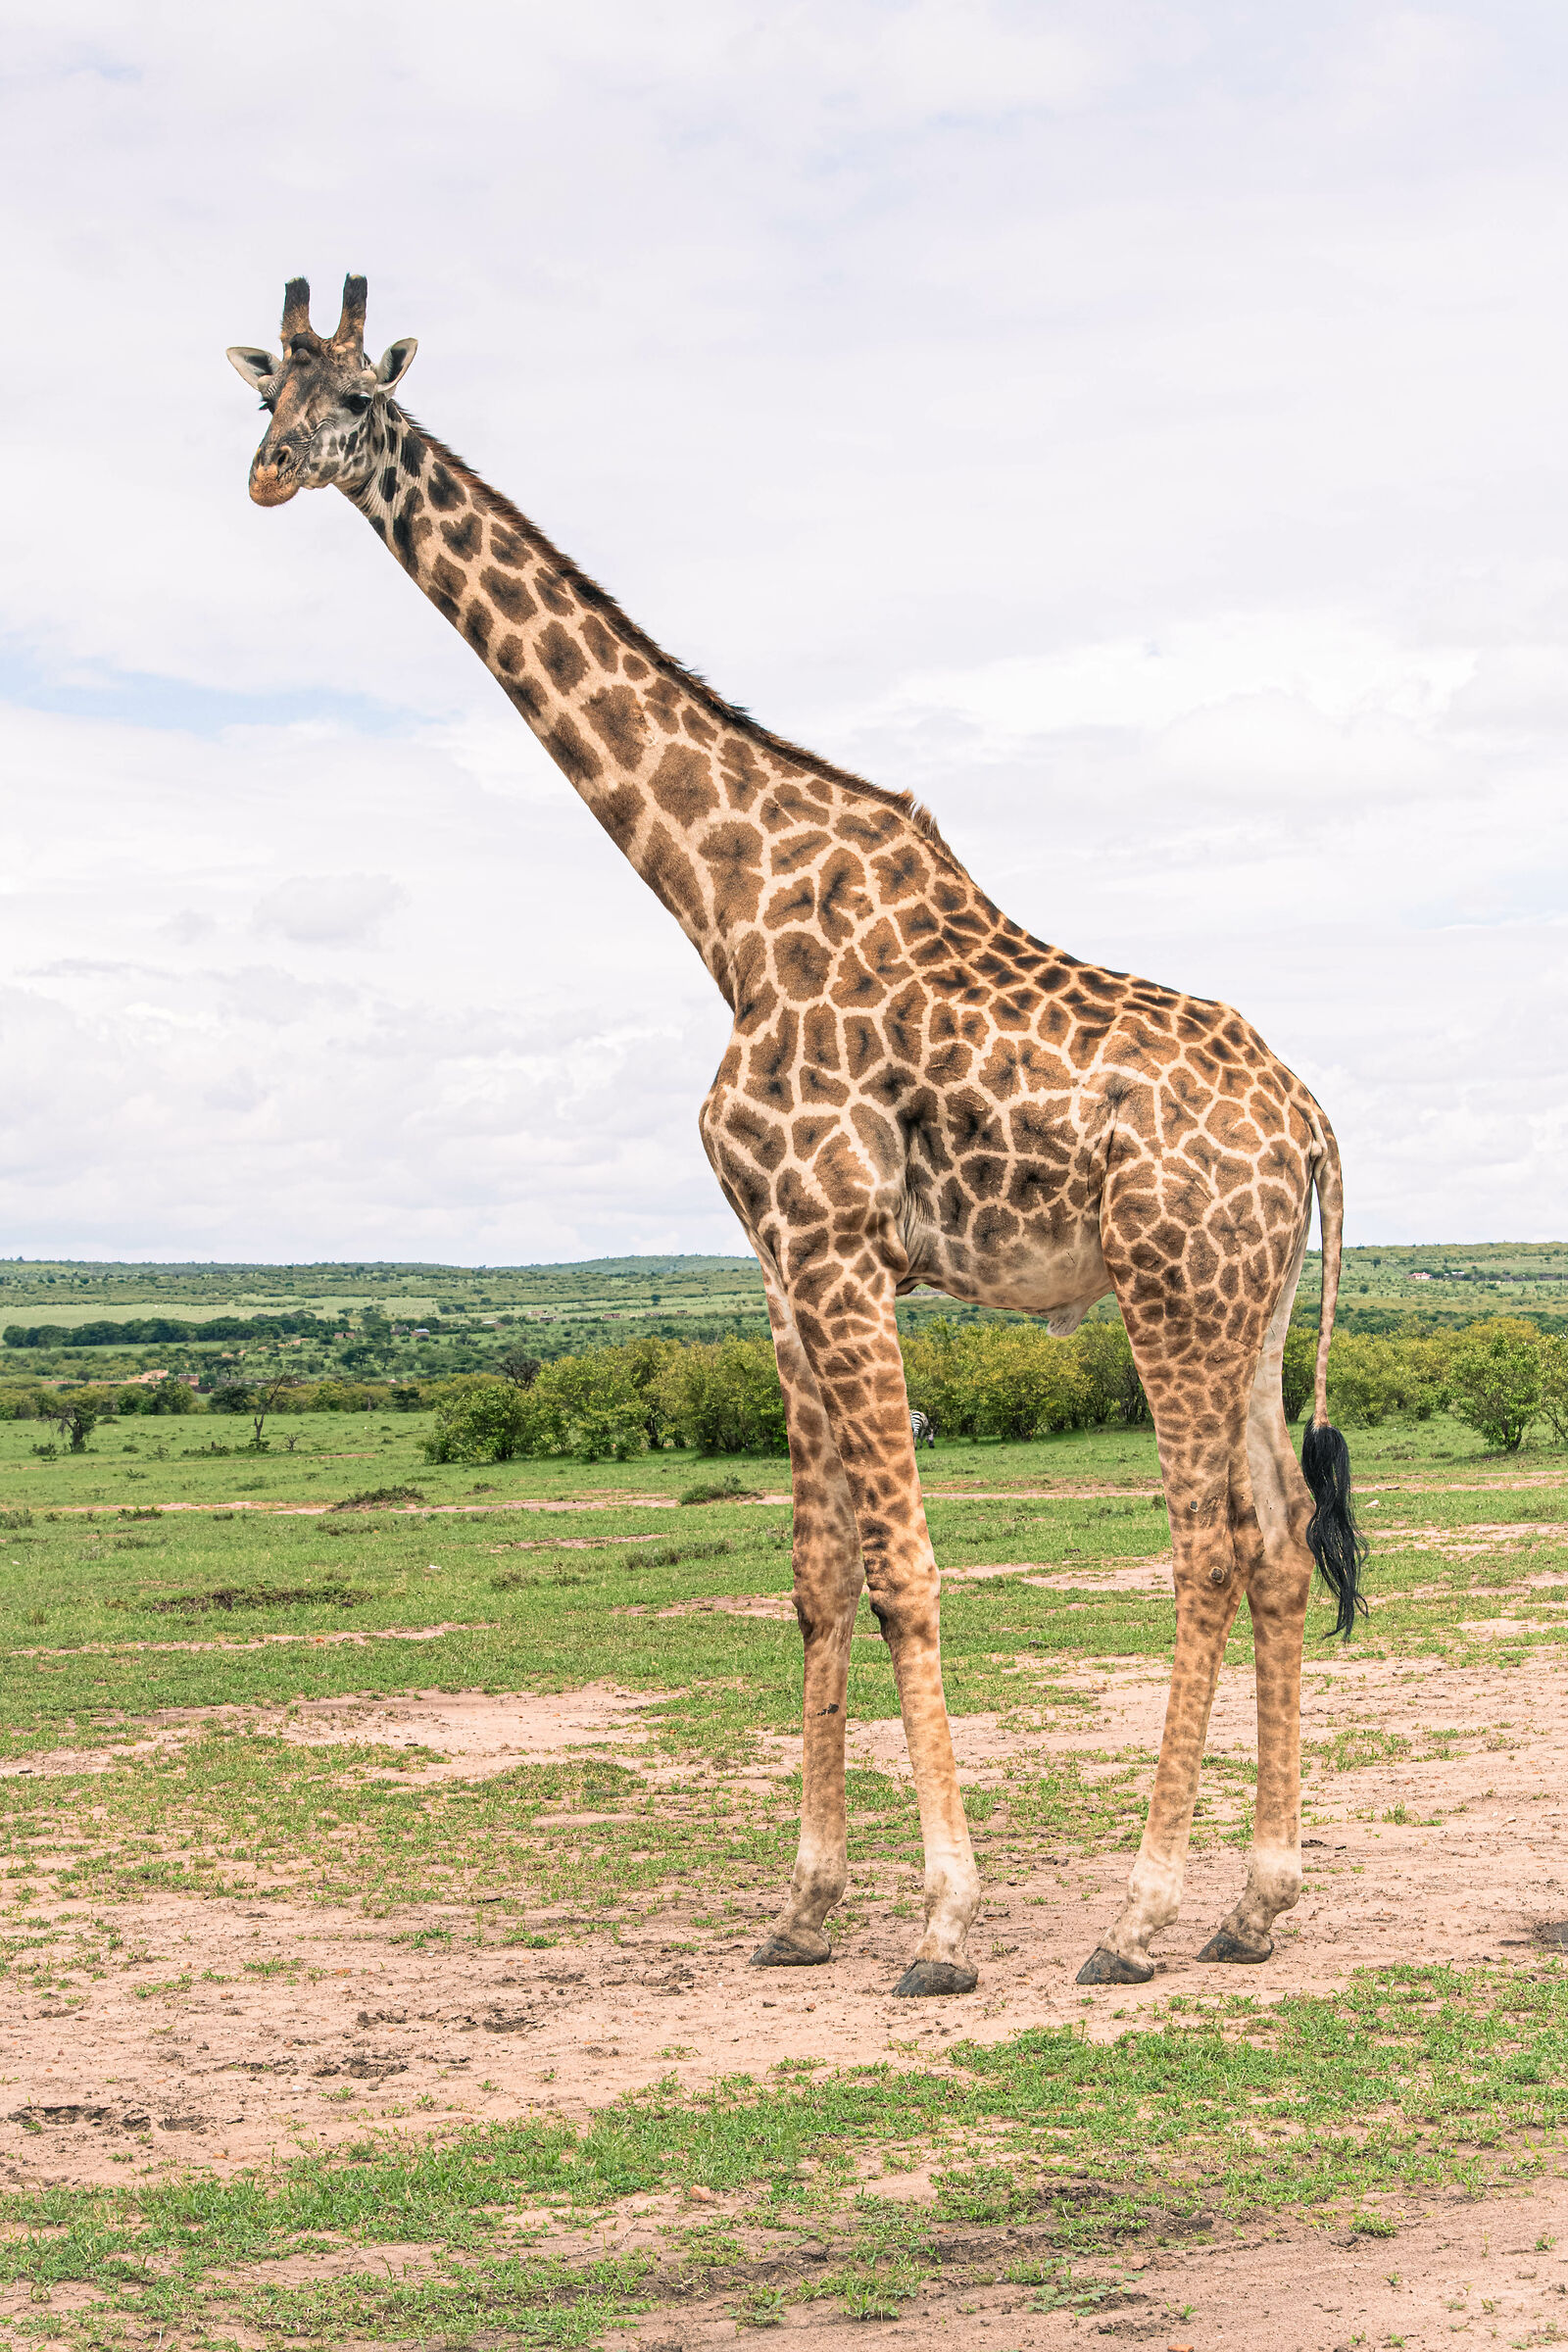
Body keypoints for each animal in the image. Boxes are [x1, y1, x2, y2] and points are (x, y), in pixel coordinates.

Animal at [229, 276, 1366, 1996]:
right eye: (265, 394)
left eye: (362, 398)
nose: (270, 475)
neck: (725, 906)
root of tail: (1305, 1117)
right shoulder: (776, 1262)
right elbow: (818, 1578)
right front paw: (807, 1906)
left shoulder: (834, 1243)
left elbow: (905, 1571)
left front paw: (946, 1924)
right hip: (1250, 1308)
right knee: (1286, 1543)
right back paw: (1257, 1903)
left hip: (1169, 1296)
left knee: (1211, 1550)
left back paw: (1139, 1916)